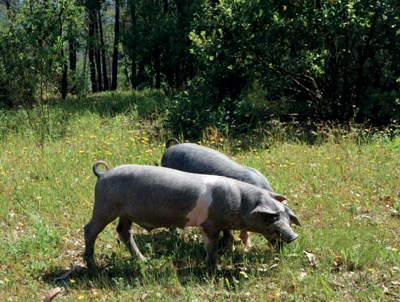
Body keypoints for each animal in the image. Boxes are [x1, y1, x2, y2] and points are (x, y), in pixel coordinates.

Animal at [85, 160, 300, 268]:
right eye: (273, 217)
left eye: (288, 217)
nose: (293, 236)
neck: (241, 204)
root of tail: (103, 174)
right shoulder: (209, 224)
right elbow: (211, 245)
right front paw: (212, 267)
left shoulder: (224, 224)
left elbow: (228, 237)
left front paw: (227, 252)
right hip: (105, 206)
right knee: (90, 230)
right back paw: (91, 266)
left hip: (125, 214)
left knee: (123, 232)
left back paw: (144, 261)